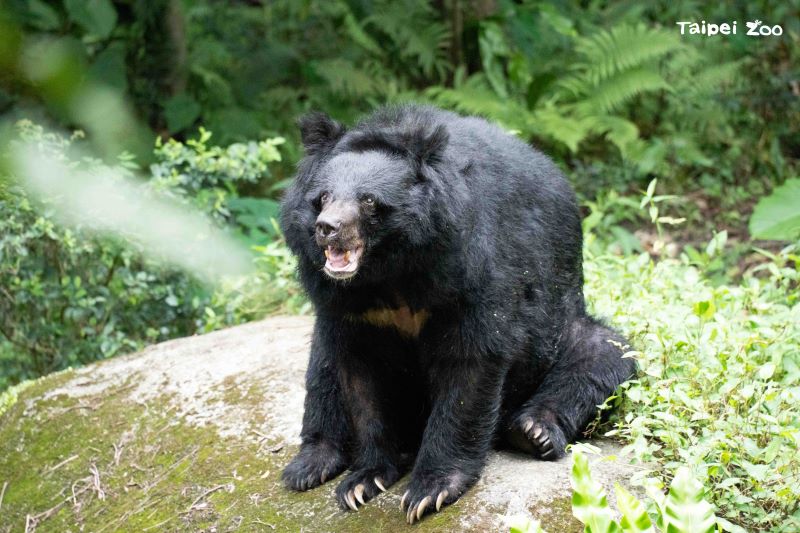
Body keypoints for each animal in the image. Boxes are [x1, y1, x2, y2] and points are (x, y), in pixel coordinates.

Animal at [278, 106, 636, 520]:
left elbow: (471, 365)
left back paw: (533, 432)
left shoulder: (471, 270)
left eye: (368, 201)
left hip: (564, 325)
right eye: (323, 197)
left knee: (602, 355)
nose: (328, 228)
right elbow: (360, 379)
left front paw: (429, 490)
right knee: (321, 375)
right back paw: (309, 464)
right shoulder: (346, 307)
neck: (389, 272)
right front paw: (363, 481)